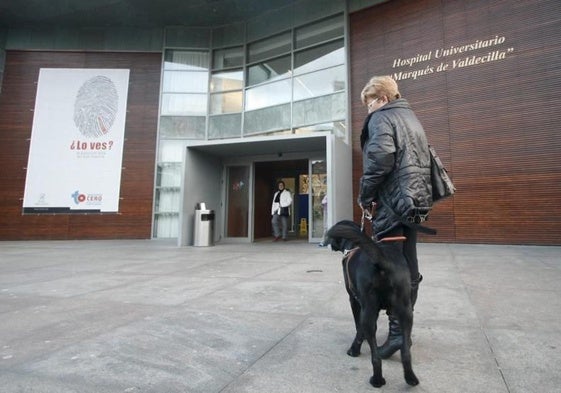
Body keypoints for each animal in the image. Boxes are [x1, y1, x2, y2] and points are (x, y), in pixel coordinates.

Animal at [324, 219, 416, 388]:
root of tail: (384, 261)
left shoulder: (355, 301)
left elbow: (358, 327)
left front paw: (355, 349)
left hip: (369, 309)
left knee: (376, 358)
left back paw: (377, 380)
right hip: (406, 312)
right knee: (405, 352)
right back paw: (411, 378)